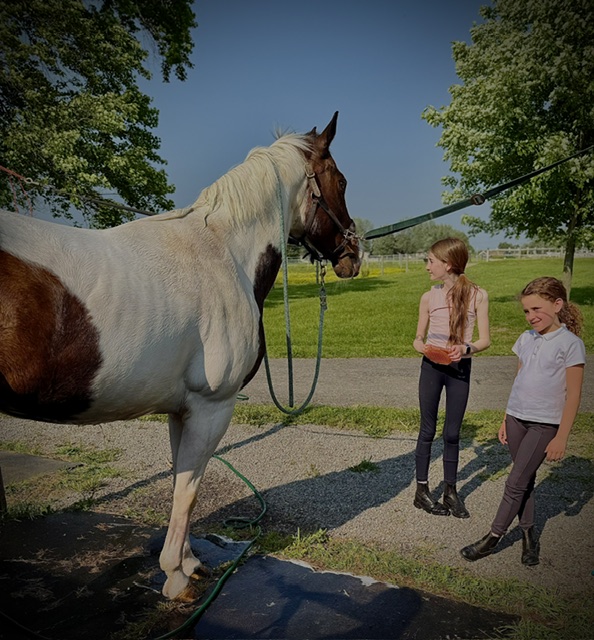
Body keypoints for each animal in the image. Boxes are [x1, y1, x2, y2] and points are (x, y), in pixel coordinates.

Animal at [0, 112, 360, 600]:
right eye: (340, 180)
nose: (354, 254)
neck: (222, 253)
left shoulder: (181, 409)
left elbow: (181, 479)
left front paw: (188, 561)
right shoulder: (212, 408)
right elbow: (189, 488)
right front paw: (175, 575)